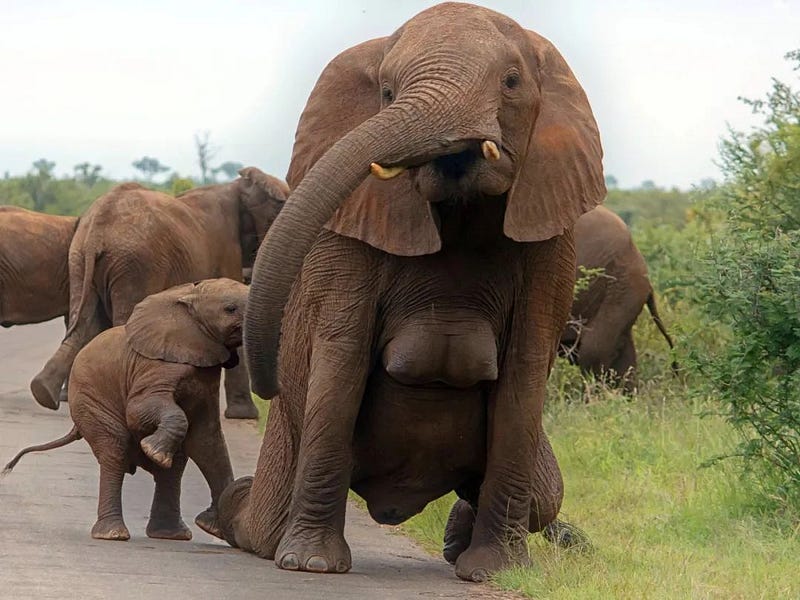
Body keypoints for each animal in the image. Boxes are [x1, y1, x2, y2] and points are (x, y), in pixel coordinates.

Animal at [3, 278, 248, 540]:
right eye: (230, 309)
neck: (189, 298)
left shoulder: (206, 379)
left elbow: (207, 439)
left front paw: (211, 526)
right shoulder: (155, 366)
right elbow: (138, 411)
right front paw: (153, 451)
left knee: (175, 465)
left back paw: (171, 534)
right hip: (91, 405)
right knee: (114, 452)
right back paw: (113, 533)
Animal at [30, 166, 288, 420]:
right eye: (278, 208)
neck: (238, 186)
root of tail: (98, 227)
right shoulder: (227, 249)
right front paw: (245, 416)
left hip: (80, 259)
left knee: (84, 324)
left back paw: (43, 393)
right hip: (136, 263)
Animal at [209, 0, 604, 580]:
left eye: (511, 82)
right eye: (388, 91)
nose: (268, 384)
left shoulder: (552, 243)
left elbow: (525, 374)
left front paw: (494, 573)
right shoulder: (351, 235)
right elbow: (342, 360)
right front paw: (310, 564)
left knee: (545, 494)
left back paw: (457, 539)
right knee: (259, 521)